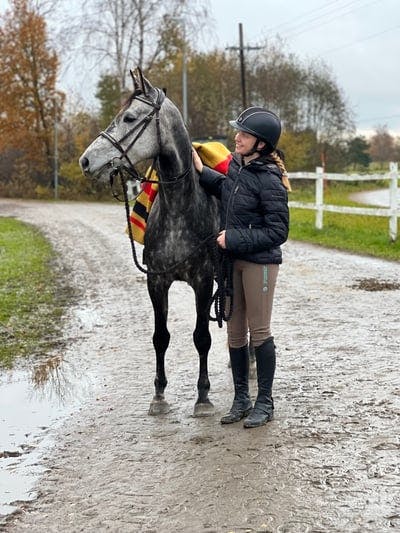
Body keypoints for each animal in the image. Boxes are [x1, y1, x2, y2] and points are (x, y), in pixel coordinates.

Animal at [78, 69, 219, 416]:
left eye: (129, 117)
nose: (86, 161)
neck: (181, 209)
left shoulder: (203, 281)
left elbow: (202, 337)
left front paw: (203, 397)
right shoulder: (156, 281)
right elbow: (160, 337)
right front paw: (159, 395)